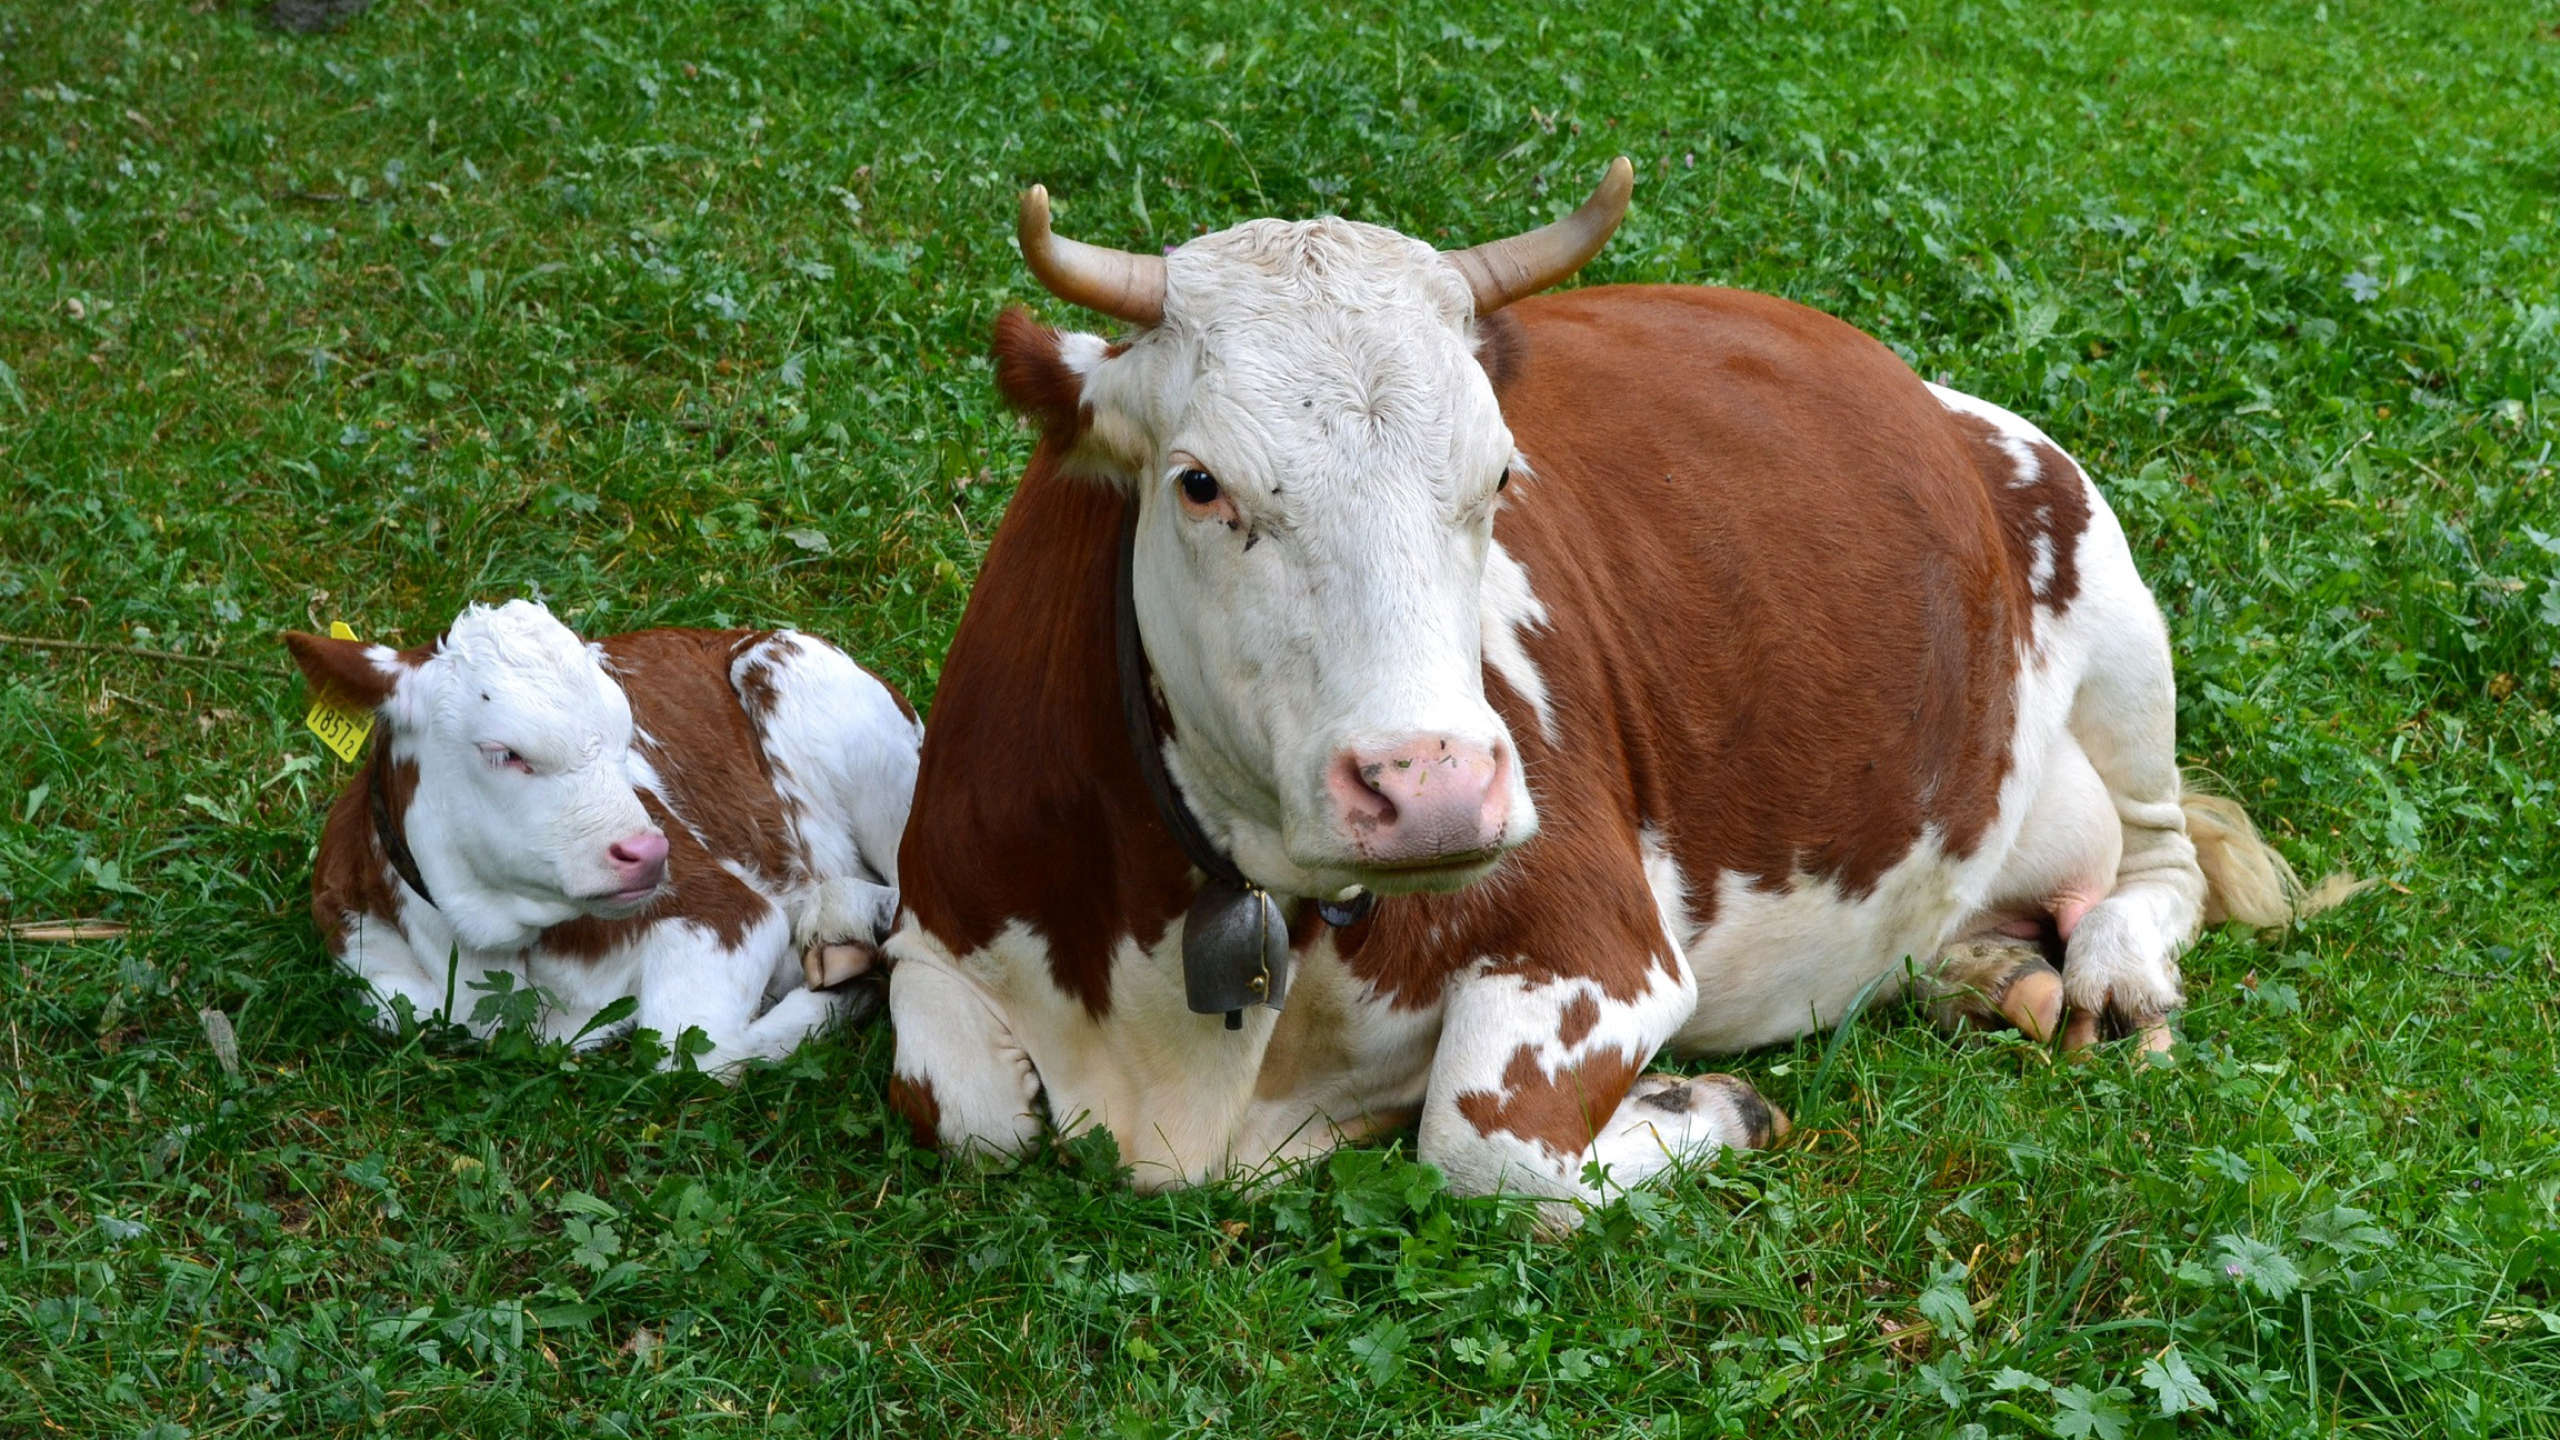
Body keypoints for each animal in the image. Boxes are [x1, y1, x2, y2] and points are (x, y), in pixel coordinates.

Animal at [288, 594, 921, 1065]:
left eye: (626, 731)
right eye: (504, 752)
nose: (648, 851)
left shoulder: (727, 908)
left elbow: (686, 1044)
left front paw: (841, 993)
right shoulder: (368, 968)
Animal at [885, 159, 2344, 1219]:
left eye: (1499, 476)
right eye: (1199, 483)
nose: (1434, 788)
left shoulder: (1603, 942)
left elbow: (1484, 1145)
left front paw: (1703, 1109)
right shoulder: (937, 919)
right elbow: (965, 1108)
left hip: (2112, 605)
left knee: (2164, 861)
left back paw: (2104, 972)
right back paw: (1987, 971)